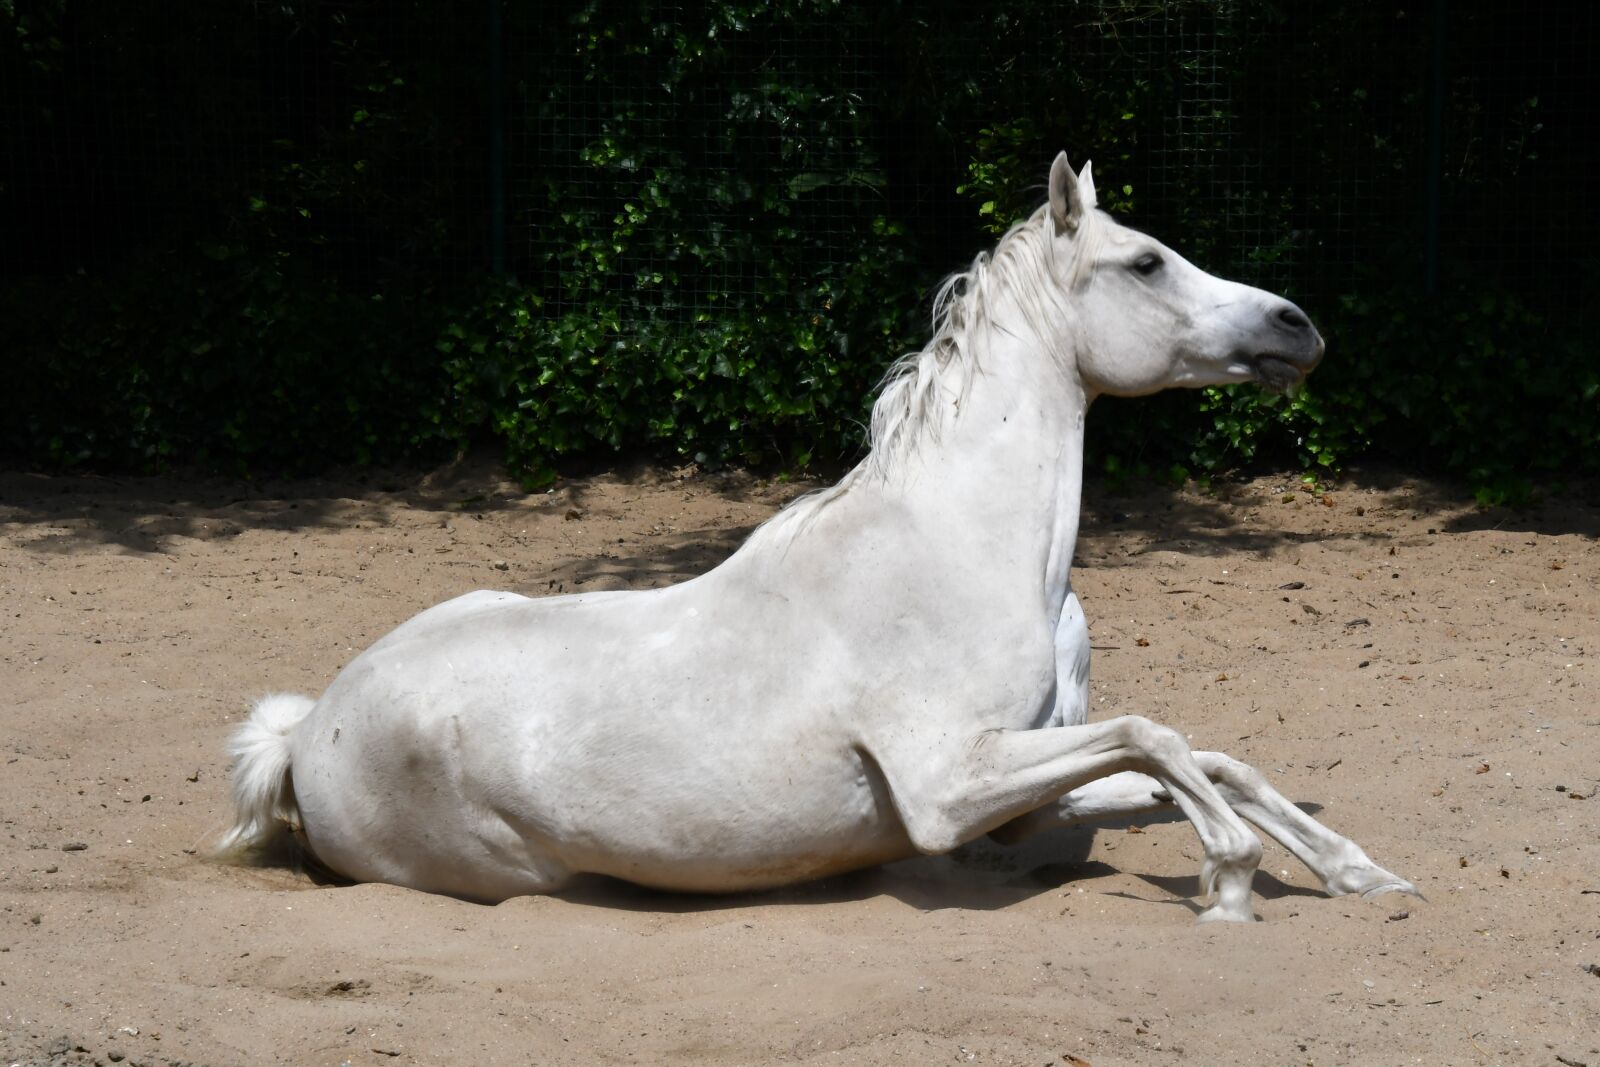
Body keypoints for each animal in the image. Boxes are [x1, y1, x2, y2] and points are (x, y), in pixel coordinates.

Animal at [215, 153, 1417, 922]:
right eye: (1147, 262)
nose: (1299, 327)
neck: (960, 550)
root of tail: (305, 731)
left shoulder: (1021, 794)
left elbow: (1205, 754)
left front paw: (1360, 872)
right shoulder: (949, 787)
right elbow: (1158, 738)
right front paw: (1230, 880)